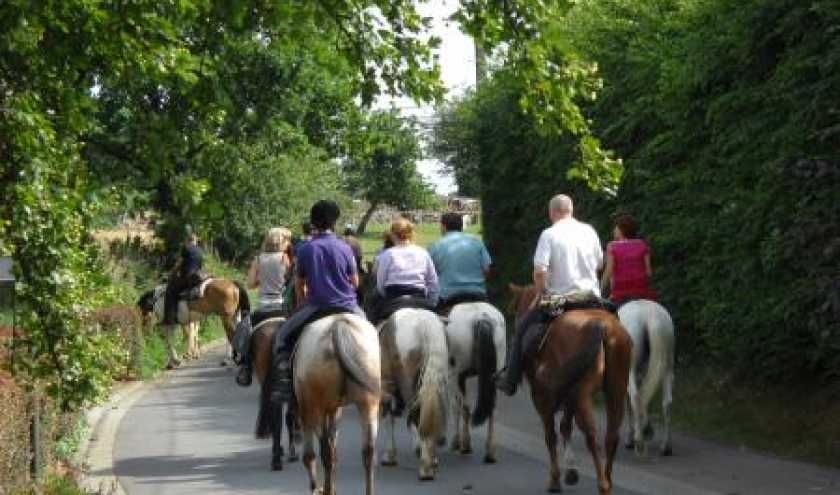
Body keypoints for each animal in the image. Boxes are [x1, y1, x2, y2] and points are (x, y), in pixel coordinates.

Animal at [292, 314, 378, 495]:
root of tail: (338, 324)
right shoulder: (334, 410)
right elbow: (334, 445)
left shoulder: (307, 411)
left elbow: (310, 455)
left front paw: (318, 488)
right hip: (369, 403)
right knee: (368, 452)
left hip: (314, 409)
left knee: (325, 453)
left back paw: (326, 489)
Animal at [378, 308, 450, 482]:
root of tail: (423, 323)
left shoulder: (387, 385)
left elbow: (389, 417)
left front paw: (390, 455)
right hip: (437, 377)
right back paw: (431, 456)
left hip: (406, 382)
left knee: (414, 412)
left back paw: (424, 465)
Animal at [446, 302, 506, 464]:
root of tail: (480, 317)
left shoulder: (452, 376)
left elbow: (455, 406)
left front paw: (456, 441)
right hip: (496, 374)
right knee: (492, 409)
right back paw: (490, 452)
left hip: (457, 375)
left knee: (465, 408)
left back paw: (465, 445)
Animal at [508, 284, 632, 494]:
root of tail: (604, 328)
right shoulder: (568, 397)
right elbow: (565, 427)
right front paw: (571, 471)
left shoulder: (541, 398)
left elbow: (551, 436)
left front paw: (555, 479)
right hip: (616, 390)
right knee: (611, 437)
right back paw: (608, 480)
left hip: (581, 395)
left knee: (591, 436)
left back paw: (602, 484)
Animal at [616, 298, 676, 458]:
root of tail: (650, 315)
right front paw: (646, 427)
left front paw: (631, 438)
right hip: (667, 367)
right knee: (666, 402)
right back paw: (666, 447)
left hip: (630, 369)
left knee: (636, 396)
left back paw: (638, 439)